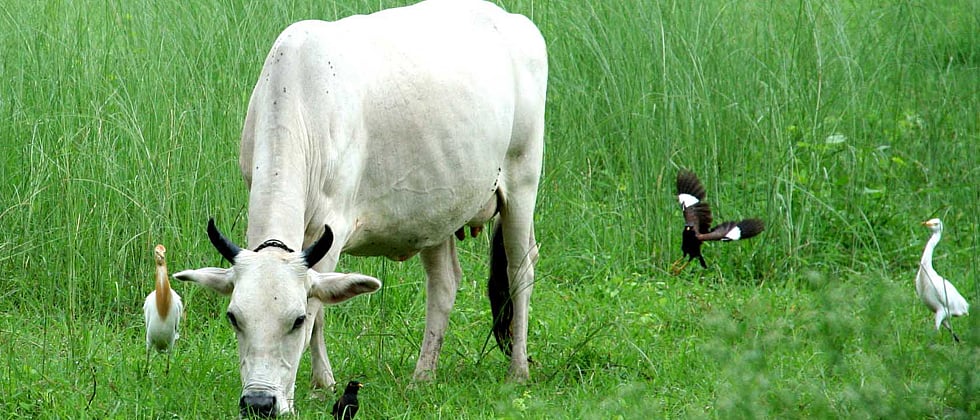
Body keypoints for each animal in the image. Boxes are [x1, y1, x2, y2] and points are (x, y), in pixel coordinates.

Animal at [172, 0, 546, 416]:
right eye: (234, 317)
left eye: (295, 320)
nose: (259, 403)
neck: (300, 94)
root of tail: (514, 21)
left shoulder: (330, 234)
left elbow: (320, 309)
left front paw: (321, 384)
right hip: (438, 210)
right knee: (444, 283)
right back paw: (423, 375)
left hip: (523, 183)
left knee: (520, 270)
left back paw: (517, 371)